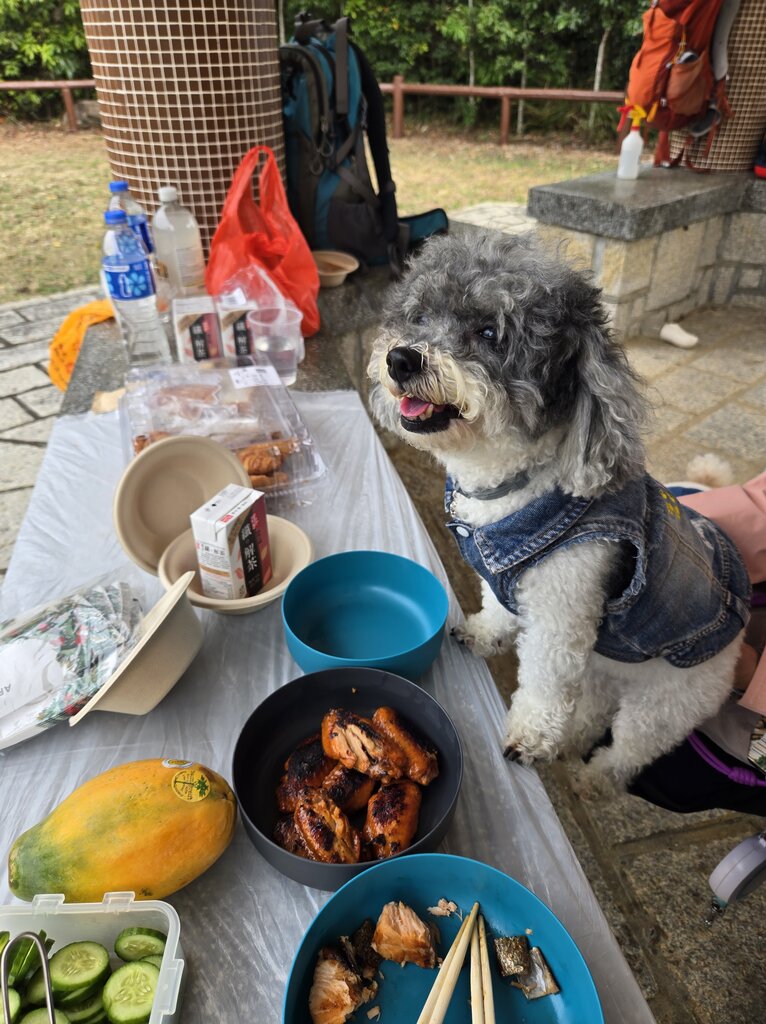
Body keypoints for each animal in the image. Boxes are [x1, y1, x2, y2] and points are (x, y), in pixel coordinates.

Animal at [368, 231, 751, 795]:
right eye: (419, 317)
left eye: (490, 332)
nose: (400, 359)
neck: (513, 486)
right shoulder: (507, 574)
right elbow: (498, 604)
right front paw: (484, 633)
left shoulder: (563, 607)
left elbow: (545, 678)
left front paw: (530, 737)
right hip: (603, 672)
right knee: (591, 712)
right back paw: (572, 747)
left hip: (669, 702)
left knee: (628, 750)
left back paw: (594, 779)